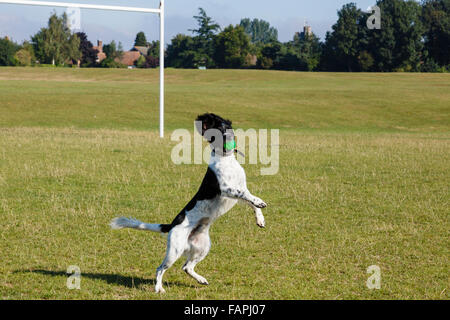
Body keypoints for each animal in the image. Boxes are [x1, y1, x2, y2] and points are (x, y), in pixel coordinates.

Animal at [111, 114, 268, 294]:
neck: (226, 159)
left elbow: (251, 201)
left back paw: (201, 280)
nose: (228, 137)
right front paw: (261, 202)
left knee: (186, 267)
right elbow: (247, 196)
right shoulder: (227, 189)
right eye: (217, 130)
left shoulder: (241, 189)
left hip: (203, 247)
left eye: (227, 127)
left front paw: (260, 218)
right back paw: (159, 288)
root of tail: (171, 225)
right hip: (175, 250)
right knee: (160, 268)